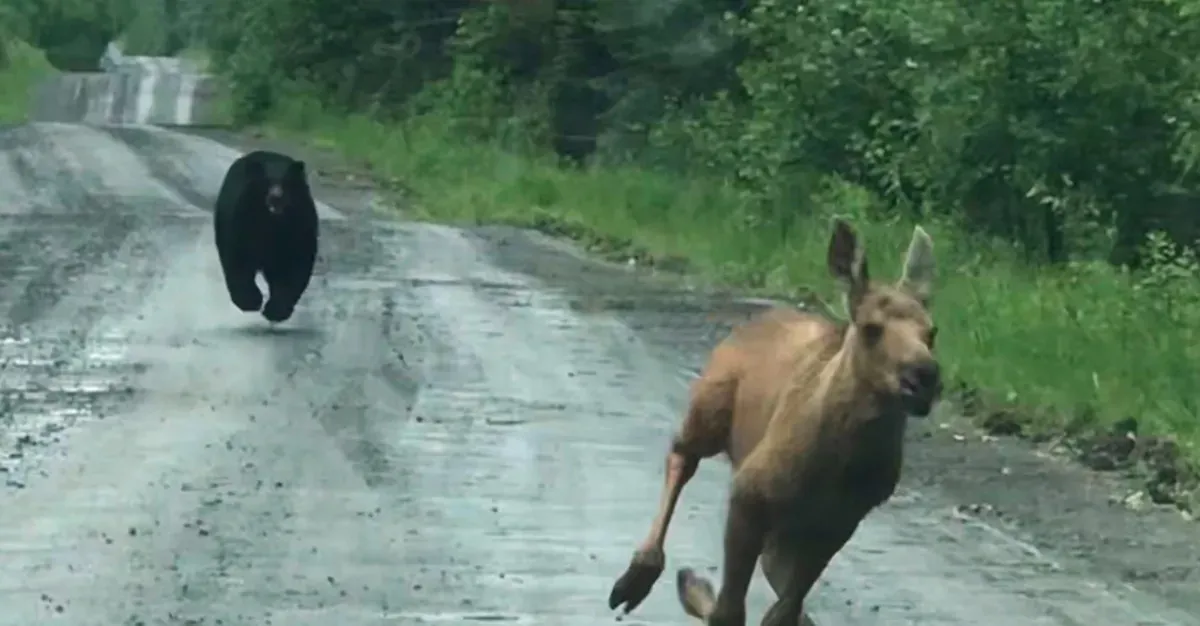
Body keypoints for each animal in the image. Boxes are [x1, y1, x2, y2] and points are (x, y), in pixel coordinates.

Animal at [213, 149, 319, 324]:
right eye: (266, 182)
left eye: (286, 182)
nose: (276, 197)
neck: (272, 222)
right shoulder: (242, 222)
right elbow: (238, 259)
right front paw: (249, 300)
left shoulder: (300, 227)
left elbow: (295, 265)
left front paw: (276, 310)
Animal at [607, 217, 940, 626]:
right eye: (870, 328)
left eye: (932, 332)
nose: (924, 377)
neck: (840, 463)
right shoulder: (749, 493)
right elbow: (730, 610)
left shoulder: (839, 523)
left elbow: (783, 610)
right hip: (710, 408)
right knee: (682, 454)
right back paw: (639, 575)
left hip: (787, 529)